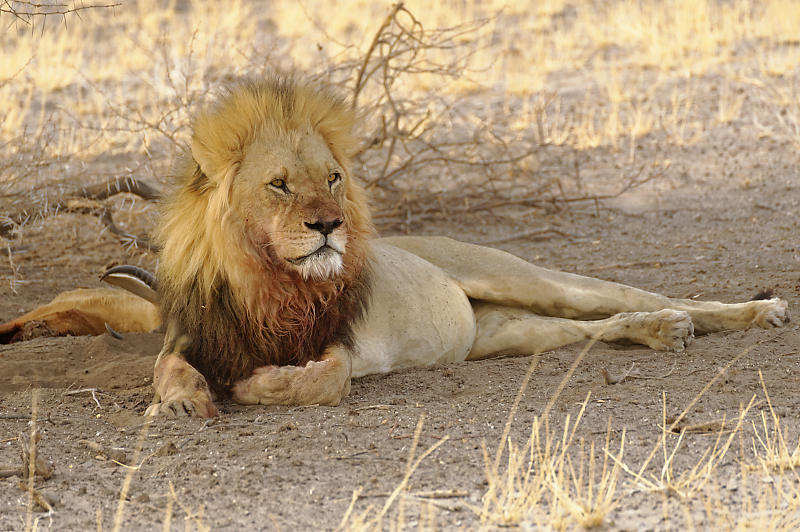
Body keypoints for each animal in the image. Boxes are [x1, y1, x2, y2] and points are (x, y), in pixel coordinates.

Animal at [0, 76, 788, 416]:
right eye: (280, 185)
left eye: (333, 178)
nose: (330, 226)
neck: (266, 282)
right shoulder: (188, 338)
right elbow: (168, 373)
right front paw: (186, 404)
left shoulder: (341, 345)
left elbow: (319, 380)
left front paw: (255, 387)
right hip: (510, 333)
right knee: (599, 326)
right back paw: (659, 333)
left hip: (528, 277)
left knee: (633, 294)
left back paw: (747, 313)